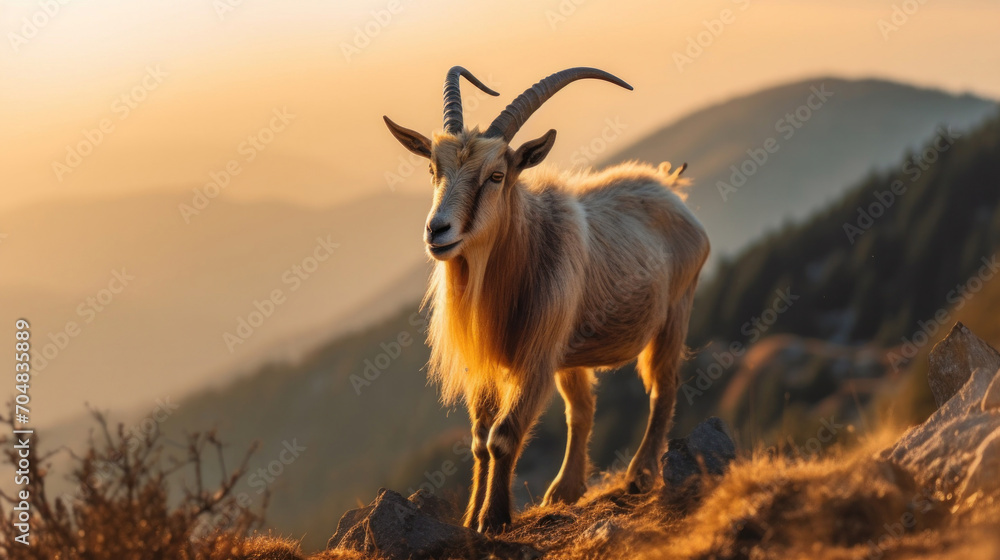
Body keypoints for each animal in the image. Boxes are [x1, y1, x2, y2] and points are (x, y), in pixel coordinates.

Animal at [383, 66, 710, 533]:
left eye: (496, 175)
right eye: (432, 167)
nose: (437, 230)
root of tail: (670, 186)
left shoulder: (535, 359)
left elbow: (503, 437)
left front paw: (494, 519)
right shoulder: (486, 366)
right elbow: (480, 439)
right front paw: (470, 517)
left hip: (675, 311)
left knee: (663, 387)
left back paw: (640, 476)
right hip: (570, 353)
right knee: (582, 409)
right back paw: (565, 490)